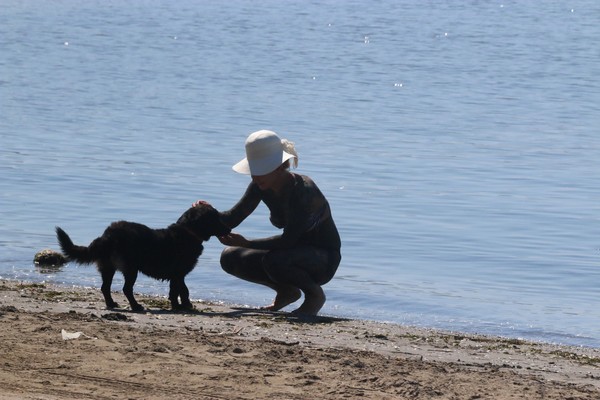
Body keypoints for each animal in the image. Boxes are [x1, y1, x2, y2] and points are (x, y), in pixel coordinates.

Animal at [55, 203, 230, 312]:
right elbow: (179, 291)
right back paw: (136, 306)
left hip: (108, 267)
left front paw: (184, 305)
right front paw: (180, 306)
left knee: (105, 287)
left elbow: (181, 290)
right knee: (126, 289)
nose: (229, 229)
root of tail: (108, 235)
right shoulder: (178, 274)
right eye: (215, 217)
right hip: (131, 269)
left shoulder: (179, 275)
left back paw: (111, 303)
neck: (188, 231)